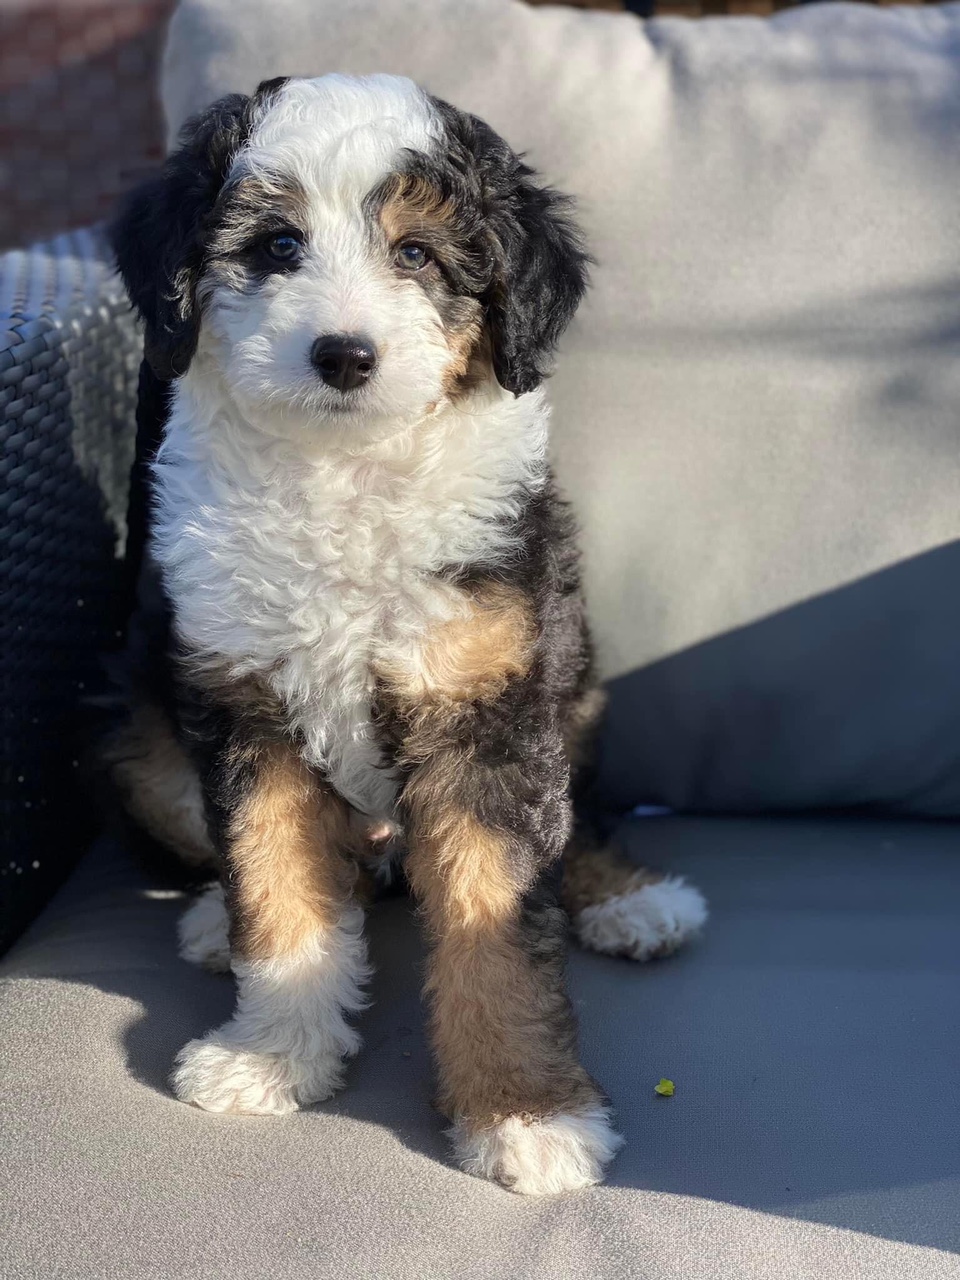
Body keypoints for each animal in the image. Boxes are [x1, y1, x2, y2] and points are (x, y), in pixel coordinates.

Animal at [106, 74, 706, 1192]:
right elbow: (276, 889)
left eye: (418, 254)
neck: (343, 476)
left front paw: (524, 1113)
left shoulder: (488, 709)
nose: (343, 355)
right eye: (278, 244)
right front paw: (273, 1054)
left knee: (580, 820)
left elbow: (498, 927)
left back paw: (633, 901)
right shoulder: (246, 706)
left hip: (572, 685)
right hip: (144, 748)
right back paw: (211, 920)